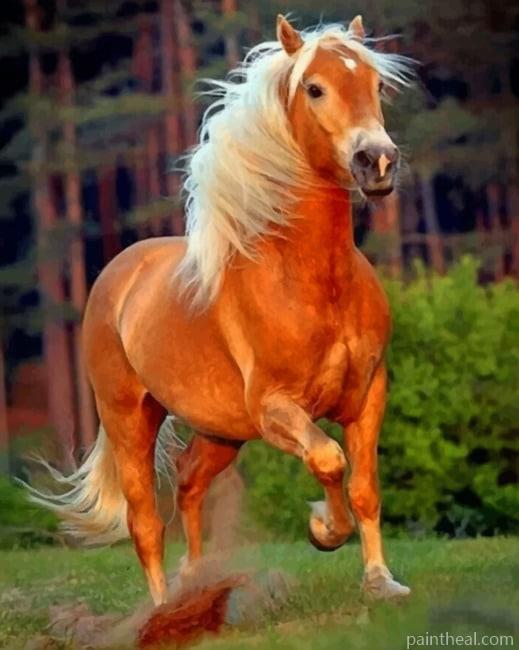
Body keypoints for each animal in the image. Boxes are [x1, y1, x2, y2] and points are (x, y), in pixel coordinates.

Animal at [30, 15, 414, 606]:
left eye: (376, 85)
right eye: (314, 88)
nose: (377, 162)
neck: (312, 284)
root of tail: (117, 274)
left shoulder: (368, 394)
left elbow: (365, 487)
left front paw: (380, 582)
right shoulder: (275, 409)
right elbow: (328, 460)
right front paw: (322, 530)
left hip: (220, 432)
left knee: (189, 482)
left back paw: (194, 581)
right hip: (128, 418)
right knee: (146, 522)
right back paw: (162, 609)